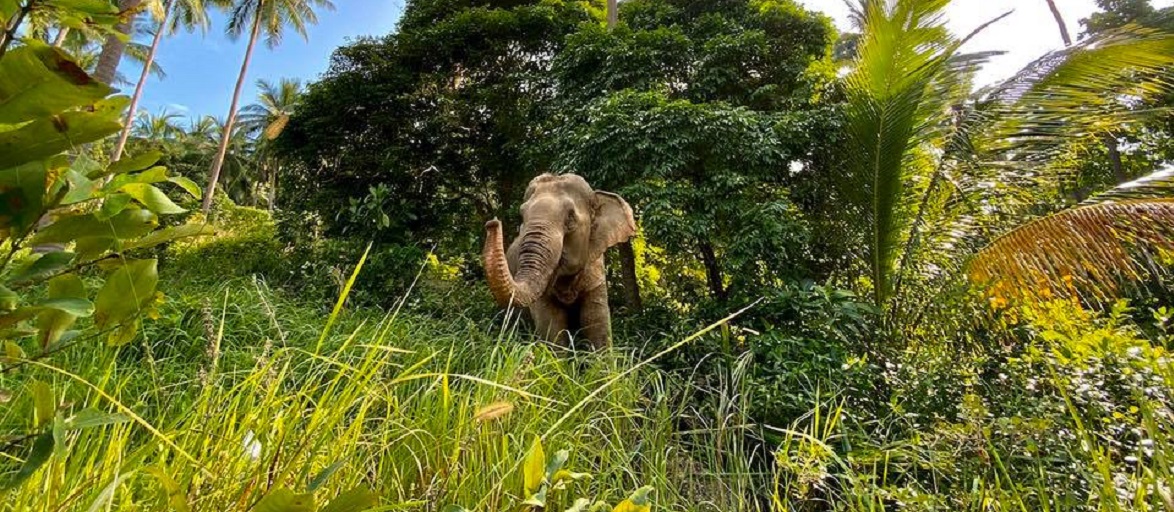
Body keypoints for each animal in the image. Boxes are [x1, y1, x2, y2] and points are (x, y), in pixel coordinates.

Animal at [483, 173, 636, 349]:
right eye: (522, 215)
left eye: (570, 217)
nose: (492, 223)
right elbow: (552, 328)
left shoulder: (596, 273)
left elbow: (597, 326)